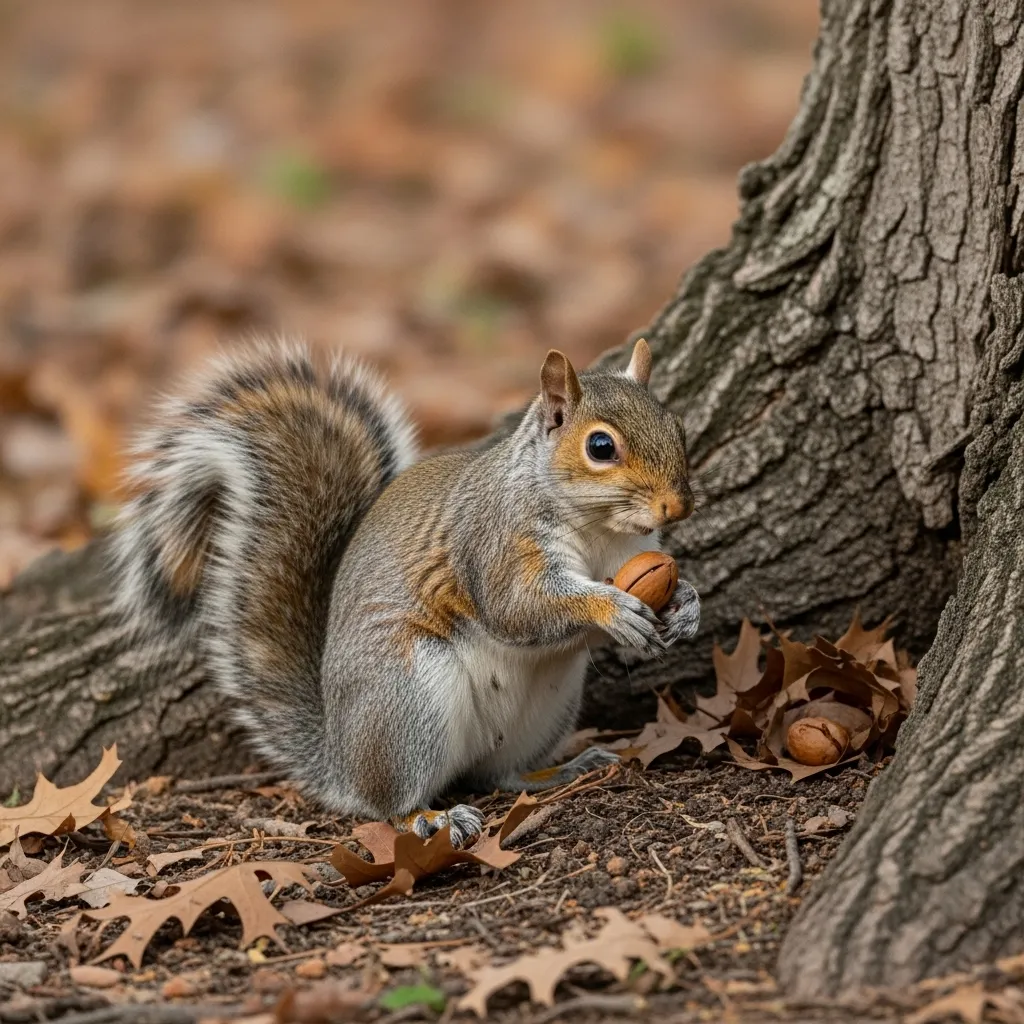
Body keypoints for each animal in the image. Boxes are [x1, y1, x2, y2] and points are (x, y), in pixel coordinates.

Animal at [111, 338, 700, 846]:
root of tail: (341, 762)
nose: (678, 507)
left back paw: (563, 769)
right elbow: (517, 608)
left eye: (678, 426)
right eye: (600, 447)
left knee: (500, 775)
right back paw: (430, 819)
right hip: (407, 699)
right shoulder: (494, 543)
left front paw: (686, 605)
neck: (599, 529)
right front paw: (611, 608)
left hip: (545, 710)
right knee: (389, 804)